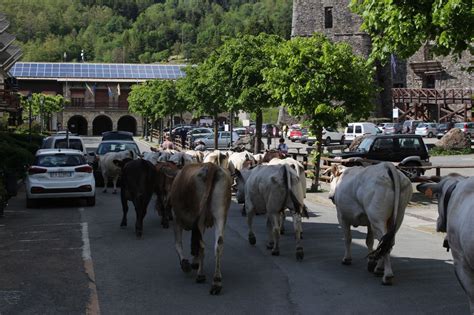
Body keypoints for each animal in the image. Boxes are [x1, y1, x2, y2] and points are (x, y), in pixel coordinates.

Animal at [169, 164, 232, 296]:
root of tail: (211, 166)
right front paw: (194, 262)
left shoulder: (176, 218)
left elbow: (178, 244)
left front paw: (186, 264)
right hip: (220, 213)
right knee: (218, 244)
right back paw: (216, 282)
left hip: (201, 217)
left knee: (201, 244)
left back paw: (200, 275)